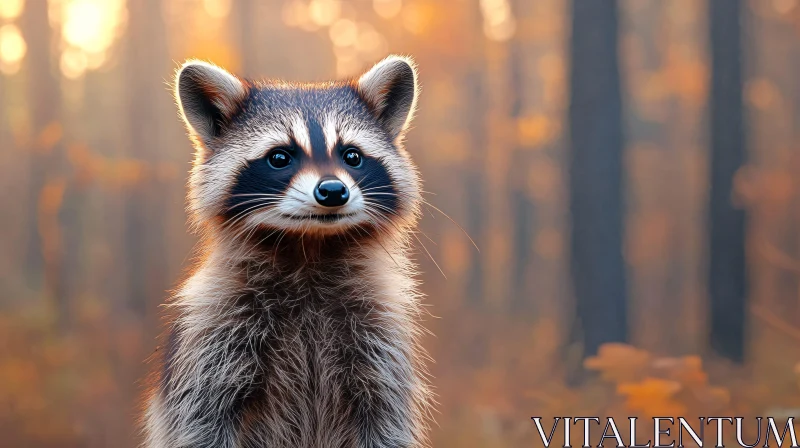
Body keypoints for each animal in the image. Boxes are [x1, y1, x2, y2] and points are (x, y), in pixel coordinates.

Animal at [142, 57, 432, 448]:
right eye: (279, 157)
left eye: (352, 156)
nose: (333, 191)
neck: (310, 245)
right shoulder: (212, 335)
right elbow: (202, 420)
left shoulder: (381, 340)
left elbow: (386, 421)